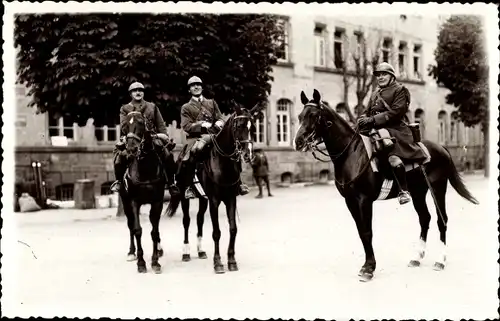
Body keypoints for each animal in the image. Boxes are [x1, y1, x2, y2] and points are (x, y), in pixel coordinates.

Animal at [119, 110, 170, 272]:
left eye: (141, 123)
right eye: (124, 125)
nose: (131, 149)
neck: (145, 167)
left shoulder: (157, 201)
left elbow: (154, 231)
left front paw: (155, 262)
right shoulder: (133, 202)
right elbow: (137, 230)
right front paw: (141, 262)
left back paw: (159, 250)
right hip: (125, 202)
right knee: (130, 225)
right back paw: (131, 252)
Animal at [166, 102, 264, 272]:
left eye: (253, 127)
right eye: (239, 126)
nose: (248, 154)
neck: (223, 162)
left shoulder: (230, 199)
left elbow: (233, 229)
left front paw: (231, 260)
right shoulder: (214, 201)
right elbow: (216, 232)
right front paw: (218, 262)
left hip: (203, 199)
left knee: (199, 220)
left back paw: (200, 251)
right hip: (185, 197)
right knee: (186, 221)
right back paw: (186, 252)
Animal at [292, 89, 480, 282]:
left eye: (314, 115)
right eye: (300, 116)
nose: (298, 142)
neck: (351, 154)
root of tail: (442, 148)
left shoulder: (364, 200)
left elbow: (367, 232)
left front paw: (369, 268)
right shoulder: (350, 201)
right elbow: (361, 232)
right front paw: (367, 265)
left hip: (438, 189)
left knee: (441, 220)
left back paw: (440, 261)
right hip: (418, 192)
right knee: (424, 219)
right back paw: (417, 257)